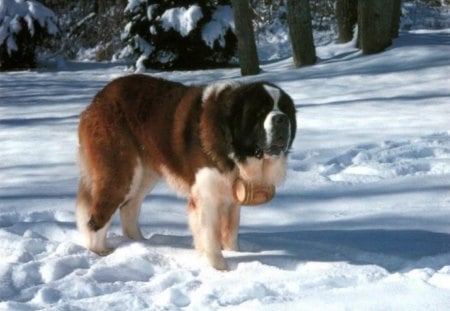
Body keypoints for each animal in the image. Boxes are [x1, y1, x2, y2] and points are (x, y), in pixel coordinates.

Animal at [77, 75, 296, 270]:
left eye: (284, 109)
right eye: (260, 112)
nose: (281, 119)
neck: (231, 144)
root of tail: (98, 99)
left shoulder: (232, 196)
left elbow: (230, 229)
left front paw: (235, 253)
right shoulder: (206, 197)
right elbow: (211, 234)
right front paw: (219, 268)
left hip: (144, 175)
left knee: (129, 208)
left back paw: (142, 244)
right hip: (121, 173)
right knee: (97, 217)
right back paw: (100, 252)